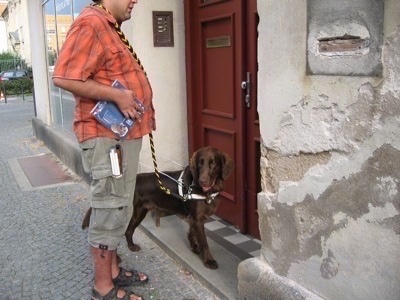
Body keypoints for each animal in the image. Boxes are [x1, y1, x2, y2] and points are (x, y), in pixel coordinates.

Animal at [82, 146, 234, 270]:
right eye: (200, 163)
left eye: (213, 163)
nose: (202, 181)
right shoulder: (197, 219)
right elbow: (204, 242)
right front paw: (208, 260)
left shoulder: (193, 218)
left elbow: (192, 233)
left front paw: (194, 248)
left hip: (140, 212)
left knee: (128, 231)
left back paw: (131, 247)